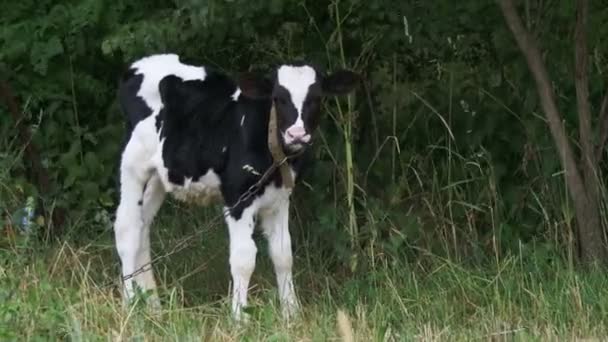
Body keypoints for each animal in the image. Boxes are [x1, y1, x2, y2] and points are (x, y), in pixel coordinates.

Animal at [113, 52, 358, 318]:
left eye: (316, 97)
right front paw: (239, 316)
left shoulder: (280, 198)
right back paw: (128, 305)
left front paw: (291, 314)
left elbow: (283, 254)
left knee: (143, 225)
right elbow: (243, 259)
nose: (296, 134)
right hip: (133, 163)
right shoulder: (238, 197)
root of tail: (138, 65)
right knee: (127, 229)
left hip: (161, 174)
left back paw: (153, 306)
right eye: (278, 98)